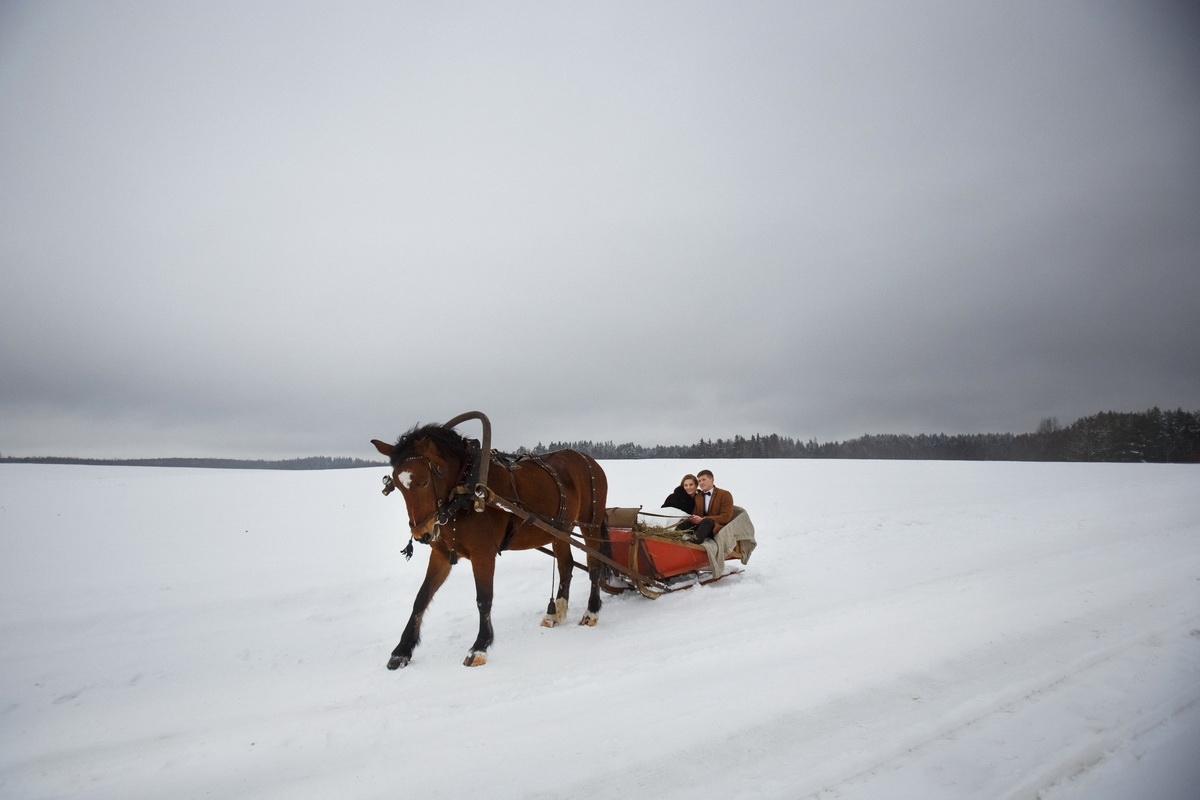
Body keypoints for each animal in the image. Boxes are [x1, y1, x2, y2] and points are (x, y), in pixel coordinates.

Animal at [369, 419, 609, 671]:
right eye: (397, 484)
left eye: (424, 481)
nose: (421, 534)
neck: (465, 487)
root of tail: (590, 460)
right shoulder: (442, 554)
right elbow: (421, 598)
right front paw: (402, 651)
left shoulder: (483, 553)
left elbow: (483, 600)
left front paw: (479, 647)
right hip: (560, 531)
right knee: (566, 565)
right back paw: (555, 614)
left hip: (590, 524)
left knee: (594, 565)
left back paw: (592, 612)